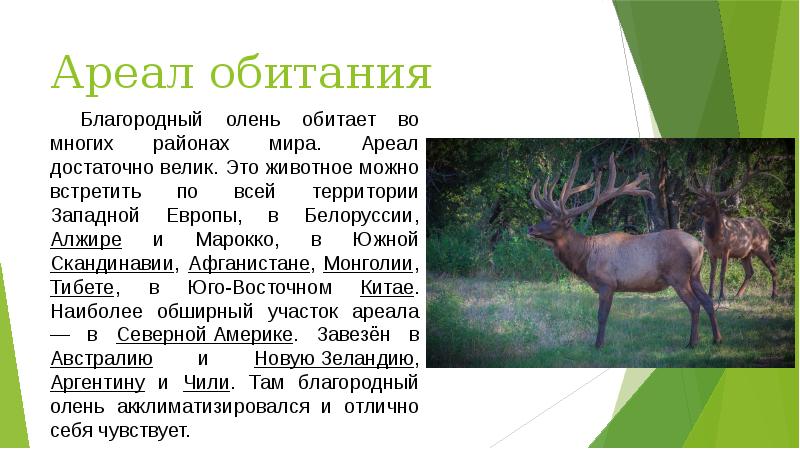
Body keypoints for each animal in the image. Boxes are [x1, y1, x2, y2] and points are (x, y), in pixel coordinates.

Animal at [527, 152, 722, 348]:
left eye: (554, 223)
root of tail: (699, 246)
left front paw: (598, 344)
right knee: (708, 301)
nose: (531, 228)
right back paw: (717, 338)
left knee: (694, 304)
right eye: (545, 217)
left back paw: (693, 342)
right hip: (695, 274)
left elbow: (602, 316)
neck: (585, 258)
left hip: (678, 275)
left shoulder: (607, 283)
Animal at [687, 155, 778, 302]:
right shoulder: (711, 252)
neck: (715, 237)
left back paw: (774, 295)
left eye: (708, 202)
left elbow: (722, 273)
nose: (693, 209)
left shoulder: (727, 250)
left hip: (762, 247)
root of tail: (765, 229)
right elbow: (712, 274)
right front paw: (710, 295)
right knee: (750, 271)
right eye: (698, 198)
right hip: (746, 253)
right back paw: (738, 294)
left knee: (773, 267)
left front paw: (721, 296)